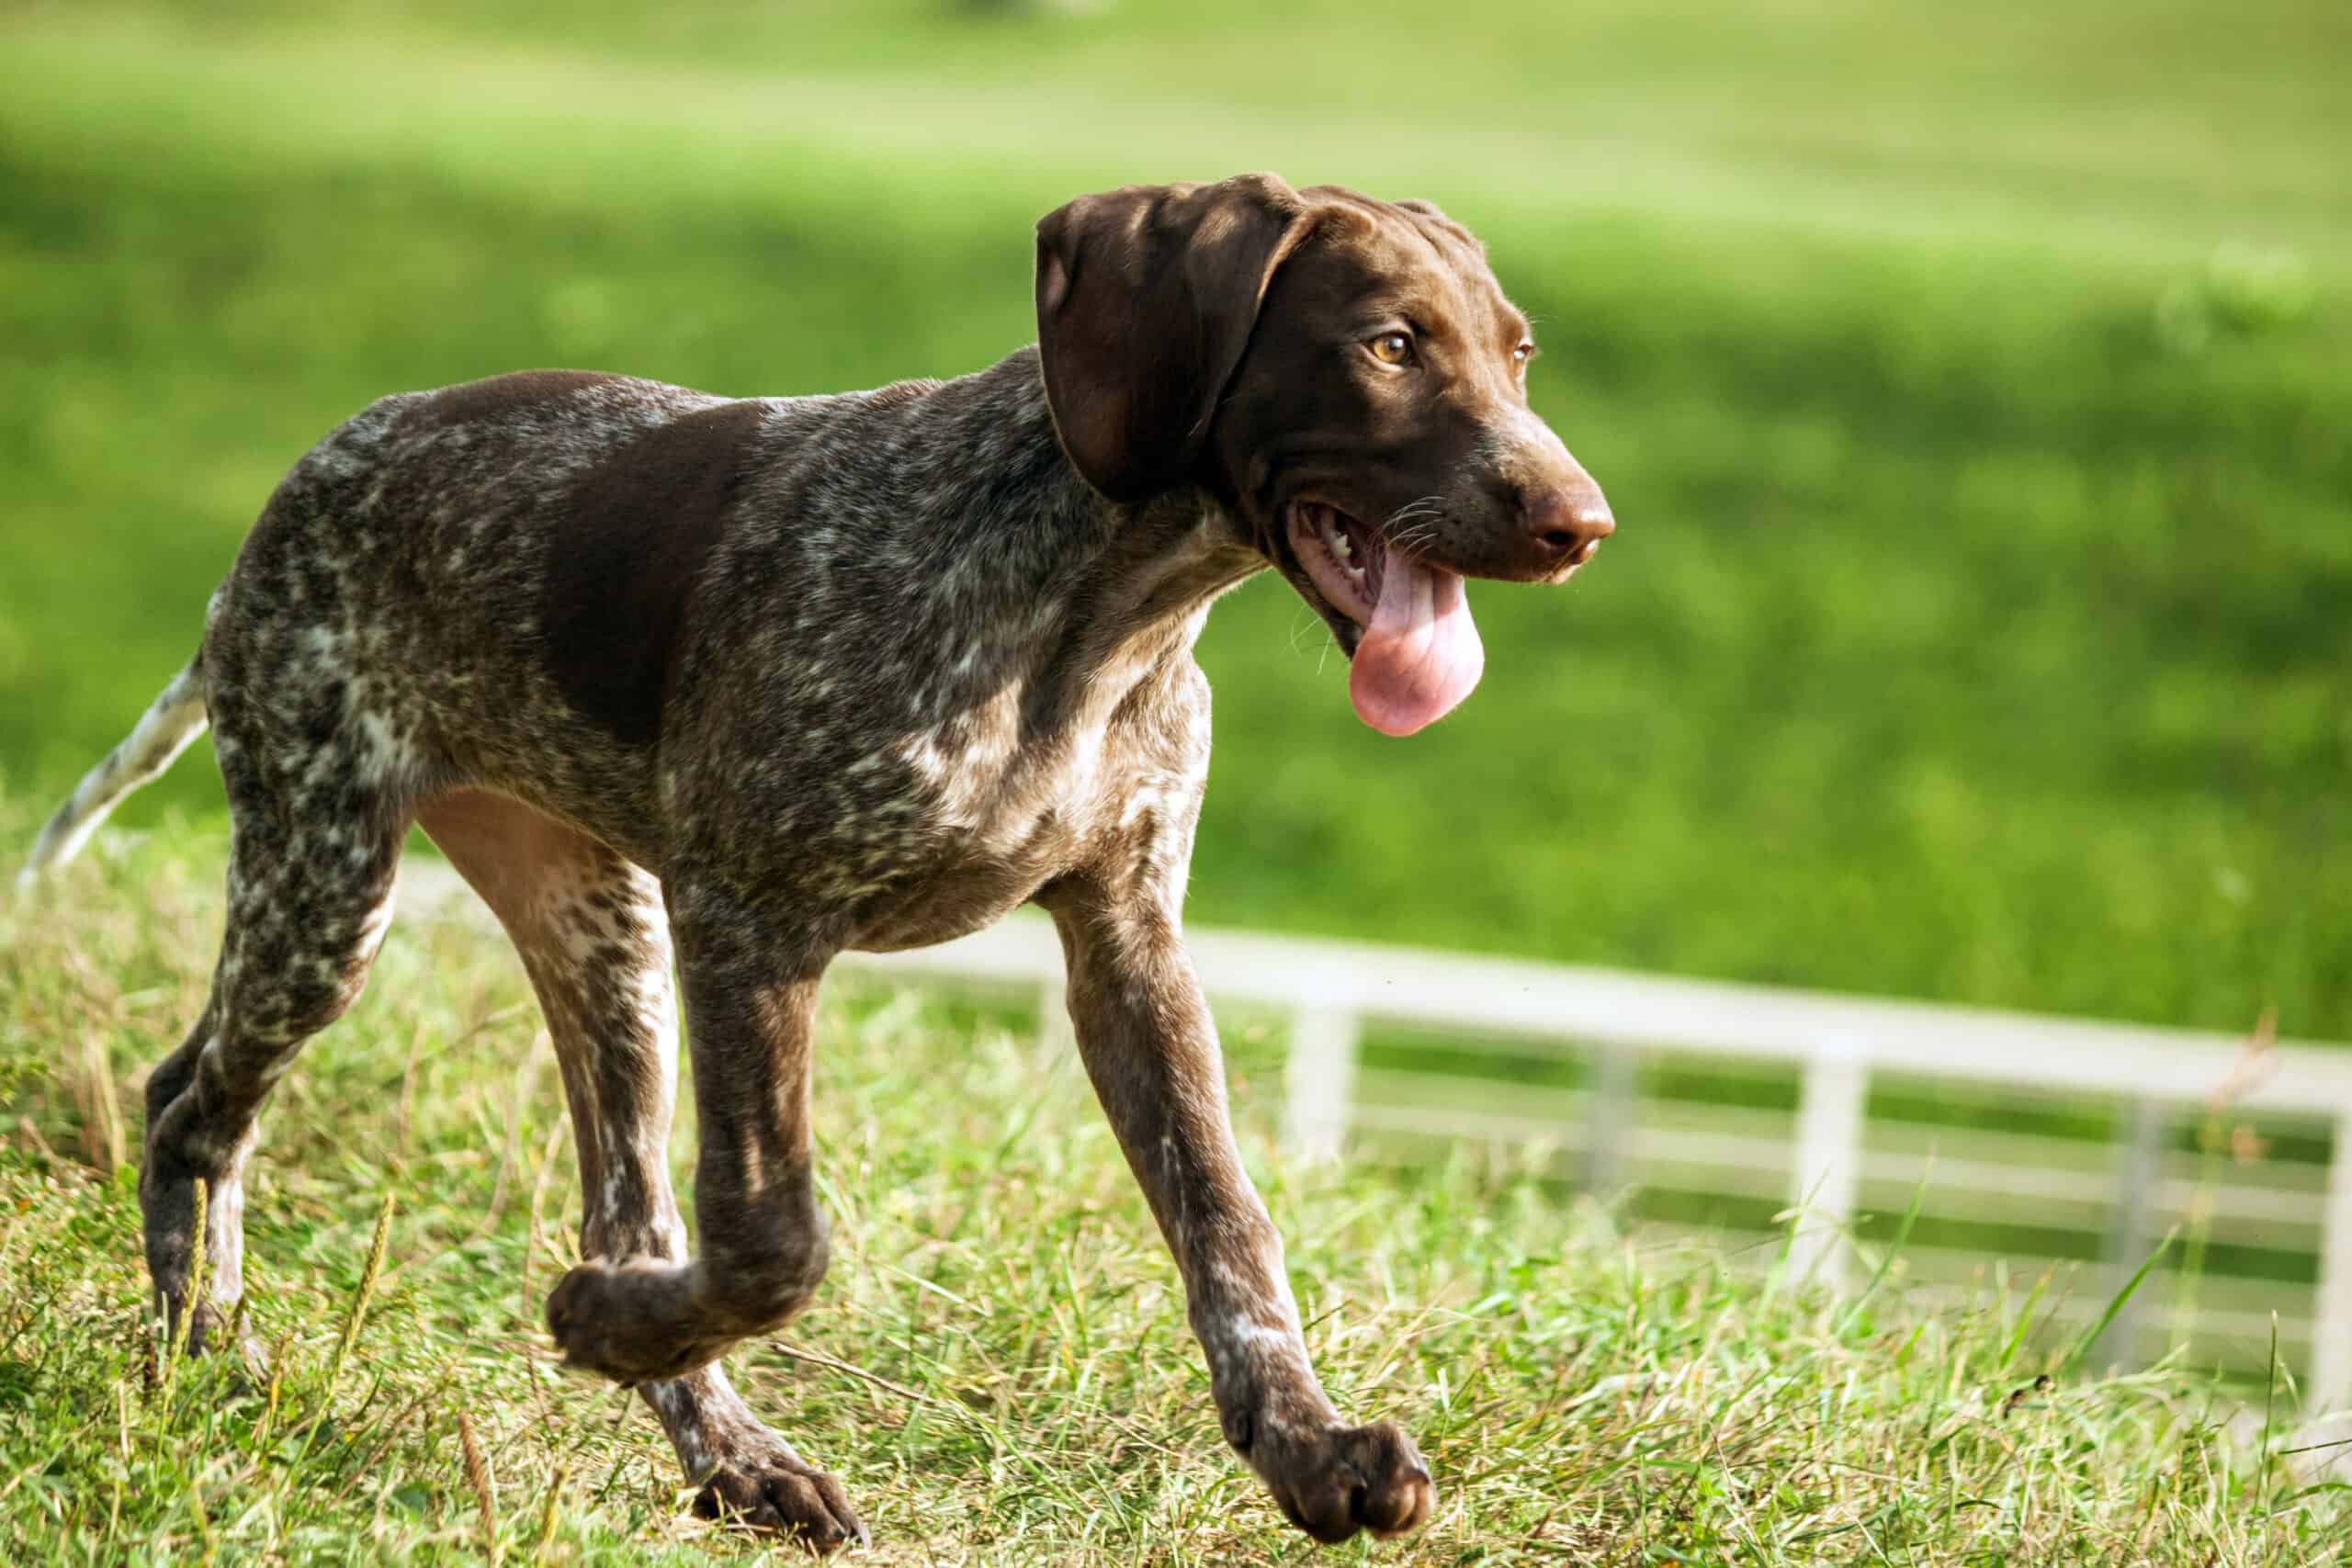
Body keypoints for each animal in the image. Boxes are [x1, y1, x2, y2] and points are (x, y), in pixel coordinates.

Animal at [18, 177, 1609, 1551]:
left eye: (1519, 354)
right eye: (1390, 345)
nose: (1580, 524)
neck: (1094, 616)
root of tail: (305, 480)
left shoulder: (1127, 942)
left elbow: (1229, 1226)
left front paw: (1303, 1444)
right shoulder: (749, 918)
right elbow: (779, 1235)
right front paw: (600, 1321)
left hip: (598, 933)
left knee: (622, 1198)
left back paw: (728, 1454)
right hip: (334, 877)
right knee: (190, 1106)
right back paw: (212, 1352)